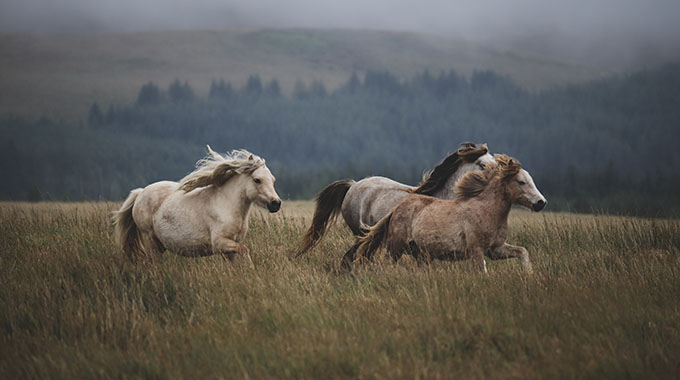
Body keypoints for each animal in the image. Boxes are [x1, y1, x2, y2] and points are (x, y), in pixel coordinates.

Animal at [114, 147, 282, 262]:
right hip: (150, 240)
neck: (227, 206)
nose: (276, 203)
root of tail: (140, 193)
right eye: (257, 180)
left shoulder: (230, 248)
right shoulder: (220, 243)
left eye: (273, 180)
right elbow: (245, 250)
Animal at [346, 154, 548, 274]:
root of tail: (396, 208)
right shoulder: (476, 250)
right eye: (521, 182)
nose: (541, 203)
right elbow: (482, 272)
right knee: (384, 264)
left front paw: (529, 276)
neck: (486, 210)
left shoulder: (495, 249)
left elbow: (522, 251)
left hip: (420, 253)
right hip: (396, 246)